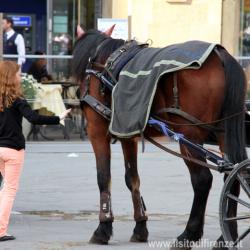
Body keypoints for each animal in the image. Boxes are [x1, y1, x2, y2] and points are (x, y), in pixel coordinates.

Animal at [71, 27, 247, 248]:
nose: (78, 92)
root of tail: (219, 54)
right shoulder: (128, 132)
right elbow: (132, 178)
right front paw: (140, 226)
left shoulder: (97, 130)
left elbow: (103, 177)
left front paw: (103, 227)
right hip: (224, 132)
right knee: (234, 175)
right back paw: (227, 235)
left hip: (189, 134)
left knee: (203, 180)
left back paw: (188, 234)